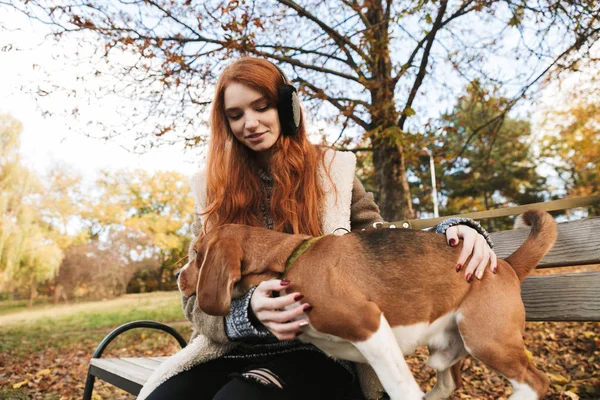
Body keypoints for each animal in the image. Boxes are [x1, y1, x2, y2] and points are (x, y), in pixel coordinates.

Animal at [179, 211, 556, 398]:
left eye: (196, 255)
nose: (179, 276)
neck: (289, 260)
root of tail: (505, 264)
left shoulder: (369, 326)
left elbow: (402, 388)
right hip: (447, 348)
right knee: (450, 383)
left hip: (486, 339)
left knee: (535, 382)